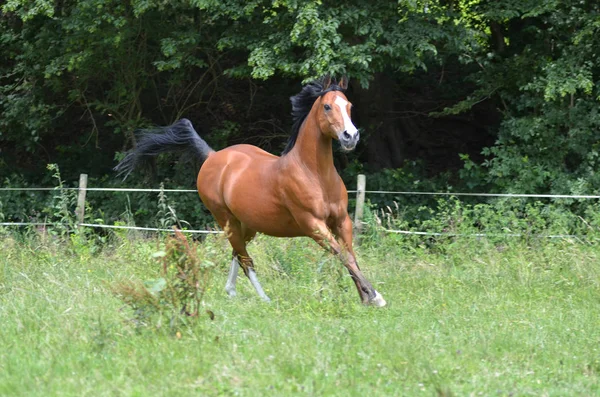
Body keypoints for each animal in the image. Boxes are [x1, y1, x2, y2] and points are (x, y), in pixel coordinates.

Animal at [115, 76, 386, 306]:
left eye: (349, 105)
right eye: (328, 106)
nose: (351, 136)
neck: (315, 175)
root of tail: (213, 156)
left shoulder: (342, 221)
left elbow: (350, 256)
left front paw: (365, 297)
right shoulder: (313, 225)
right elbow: (343, 256)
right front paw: (375, 296)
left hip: (247, 224)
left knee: (236, 252)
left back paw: (231, 292)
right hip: (226, 219)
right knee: (245, 259)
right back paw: (264, 299)